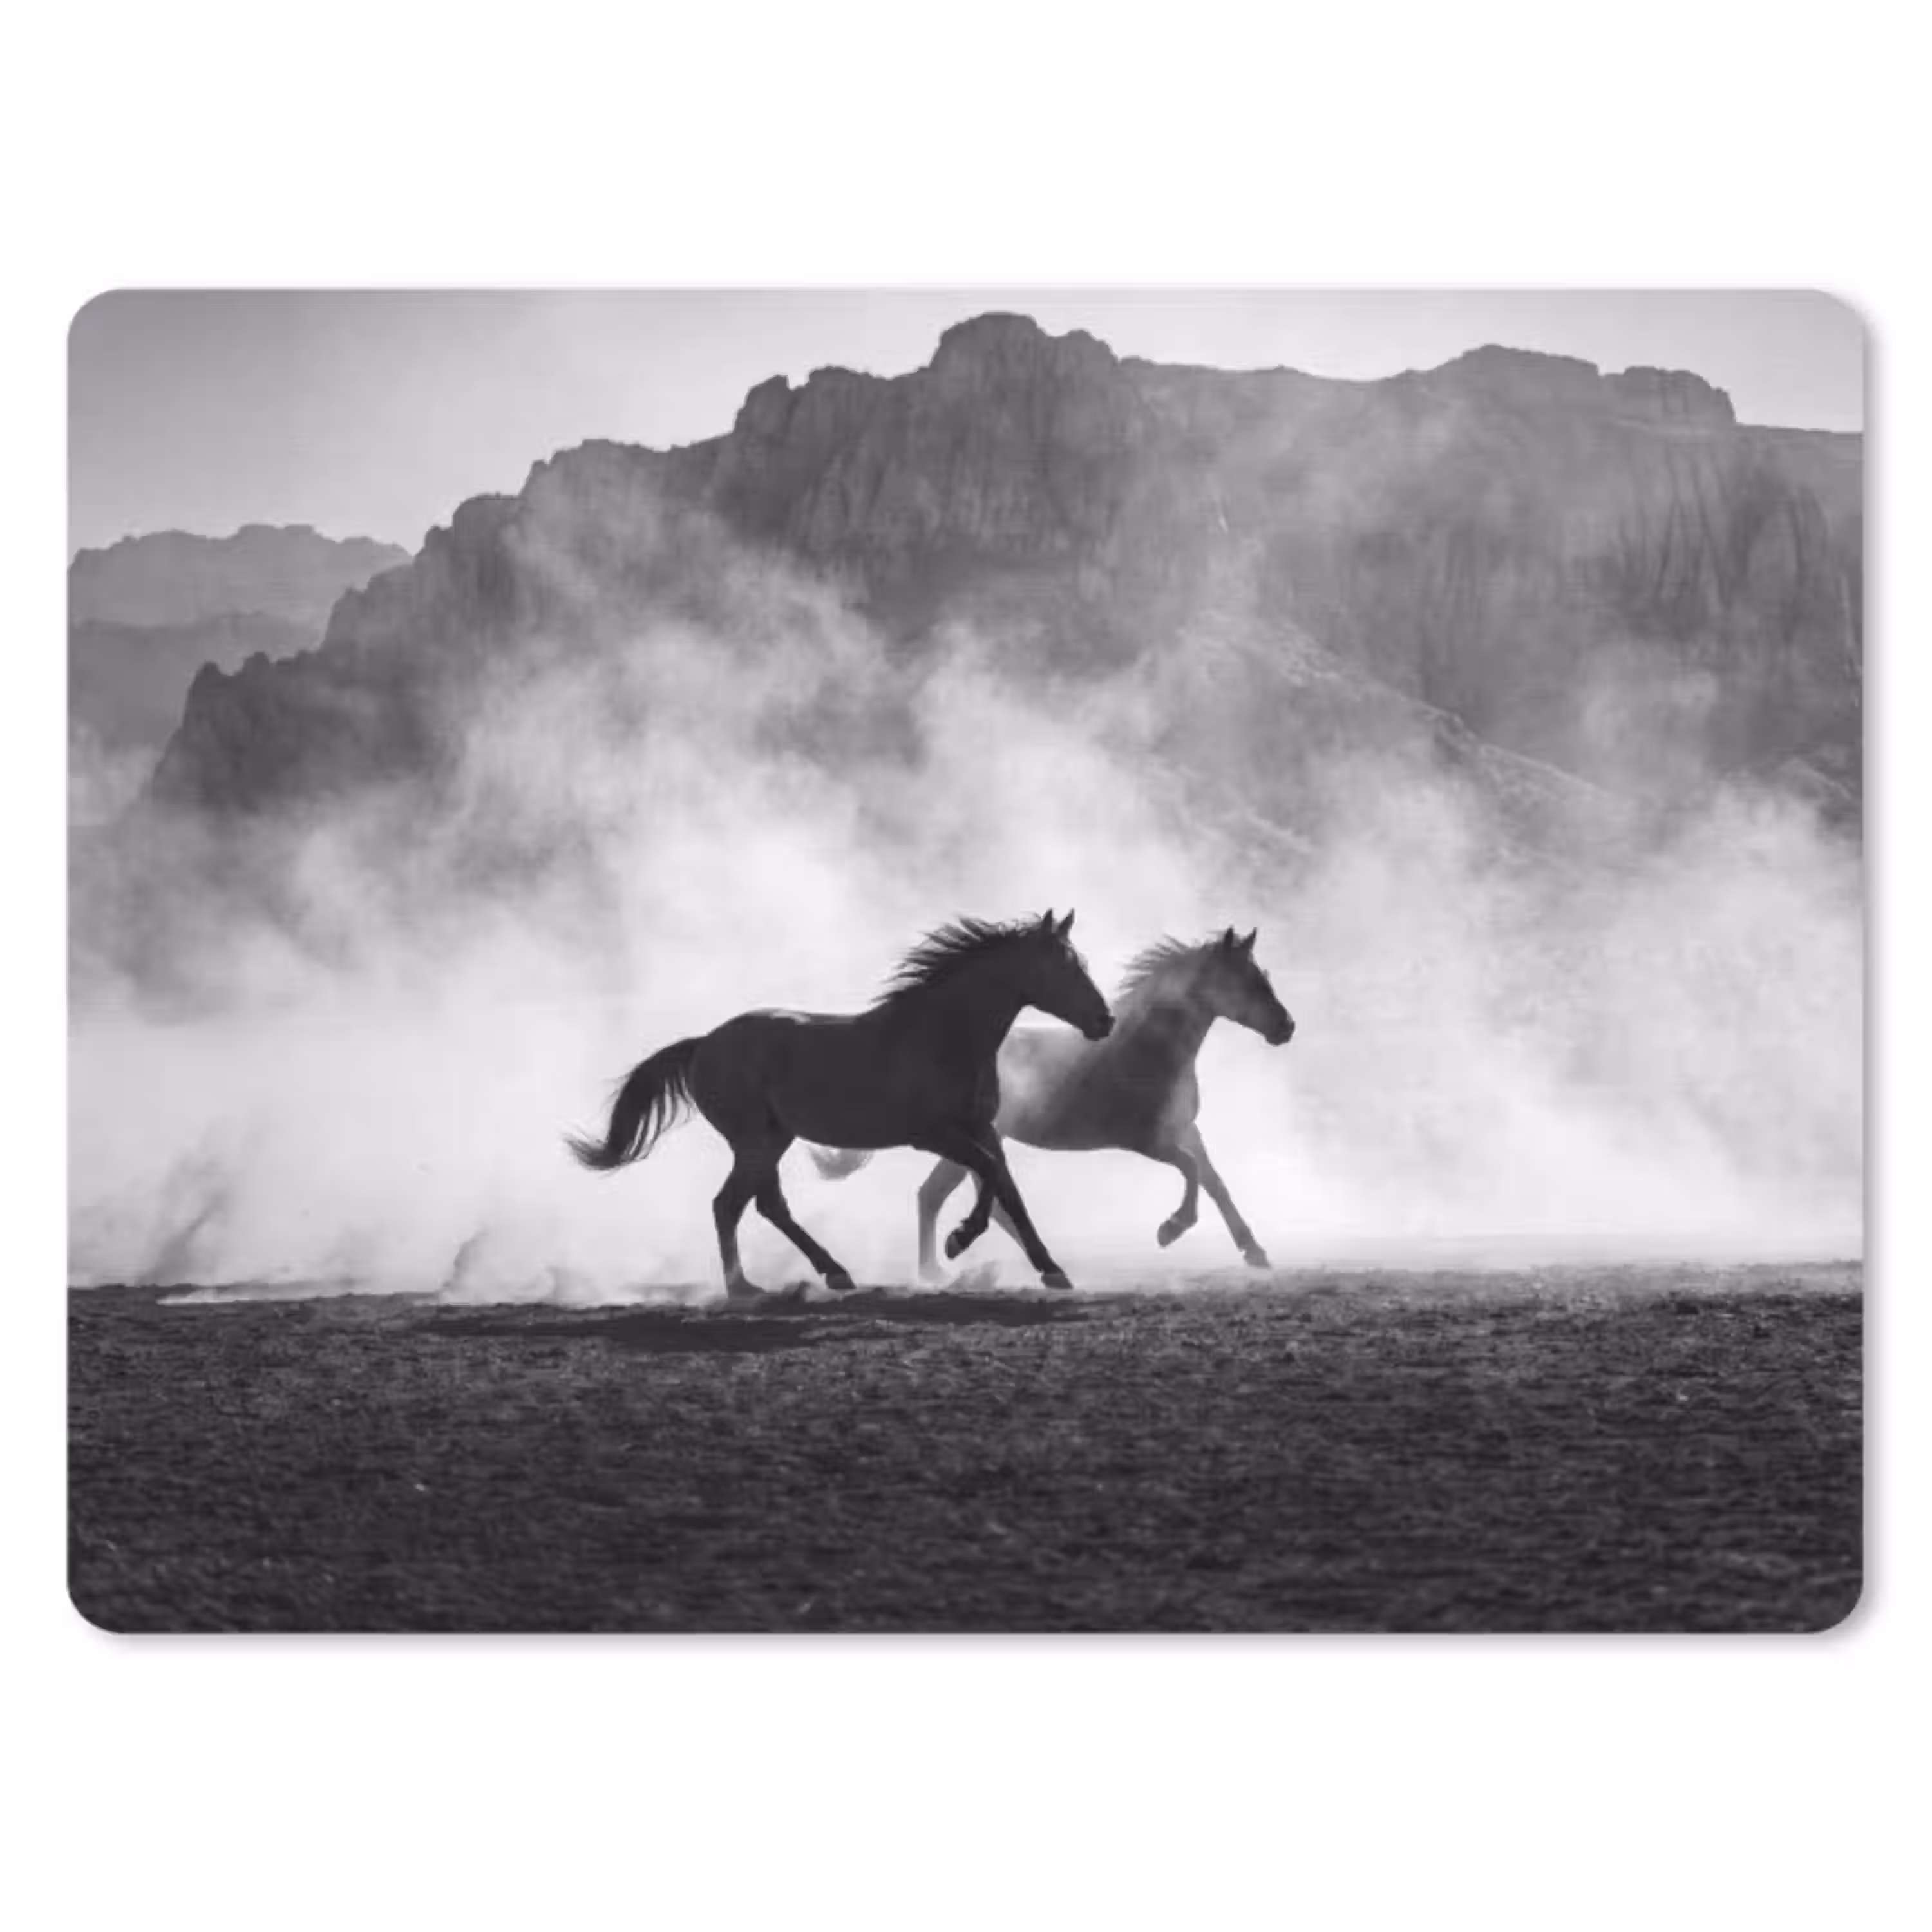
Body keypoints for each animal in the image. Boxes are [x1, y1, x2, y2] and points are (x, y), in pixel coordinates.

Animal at [566, 910, 1114, 1303]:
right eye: (1065, 967)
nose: (1105, 1021)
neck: (944, 1036)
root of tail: (703, 1044)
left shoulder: (981, 1127)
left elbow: (1008, 1188)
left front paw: (1052, 1270)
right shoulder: (933, 1134)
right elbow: (990, 1175)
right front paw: (959, 1239)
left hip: (774, 1138)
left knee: (763, 1204)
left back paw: (831, 1273)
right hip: (753, 1140)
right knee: (730, 1204)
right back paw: (746, 1288)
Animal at [822, 927, 1291, 1276]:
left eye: (1264, 976)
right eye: (1249, 982)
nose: (1287, 1027)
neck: (1148, 1049)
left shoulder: (1185, 1129)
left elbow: (1216, 1183)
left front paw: (1255, 1252)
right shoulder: (1145, 1140)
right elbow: (1192, 1171)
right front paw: (1170, 1230)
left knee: (952, 1198)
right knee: (942, 1196)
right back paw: (946, 1268)